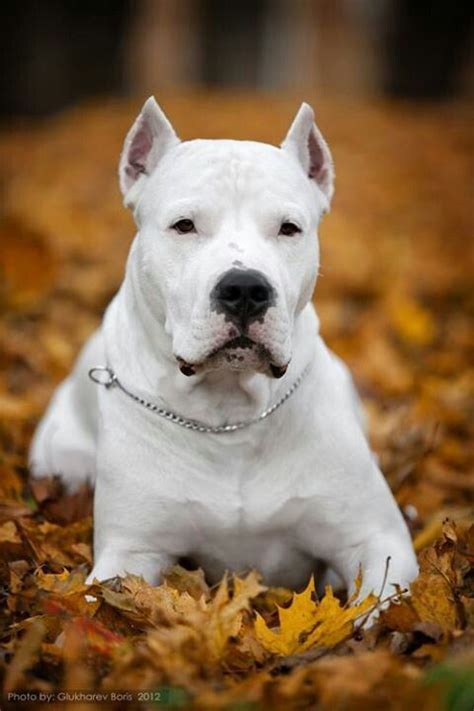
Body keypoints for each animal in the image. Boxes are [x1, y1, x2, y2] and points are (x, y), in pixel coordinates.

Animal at [27, 98, 416, 600]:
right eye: (184, 225)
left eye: (289, 229)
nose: (245, 288)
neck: (230, 416)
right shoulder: (129, 555)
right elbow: (99, 601)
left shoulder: (378, 540)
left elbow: (378, 608)